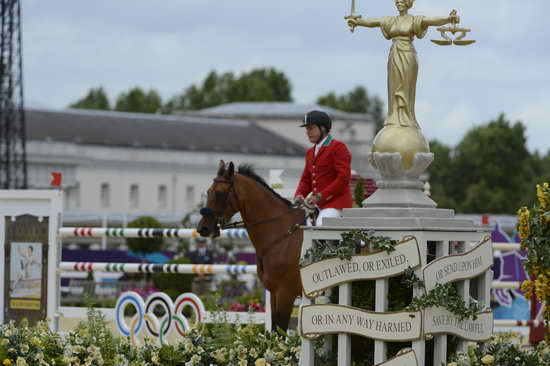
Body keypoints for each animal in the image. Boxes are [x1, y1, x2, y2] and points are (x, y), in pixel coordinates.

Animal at [198, 162, 306, 330]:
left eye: (219, 193)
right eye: (208, 191)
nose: (202, 228)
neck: (282, 236)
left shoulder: (286, 294)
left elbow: (279, 331)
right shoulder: (274, 293)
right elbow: (274, 331)